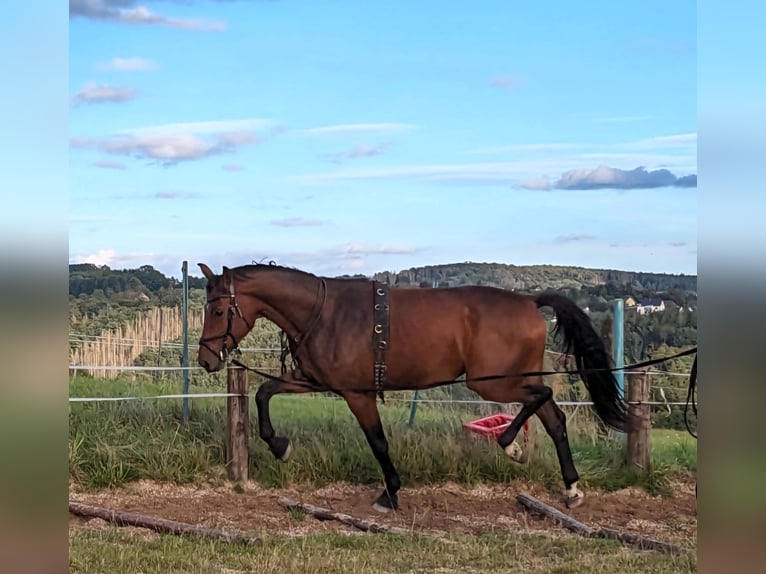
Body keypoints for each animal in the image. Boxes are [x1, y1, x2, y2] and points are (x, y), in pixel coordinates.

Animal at [196, 264, 636, 510]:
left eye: (218, 311)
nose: (206, 359)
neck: (326, 313)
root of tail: (529, 303)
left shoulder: (357, 394)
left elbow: (378, 442)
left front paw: (390, 493)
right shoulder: (315, 381)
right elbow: (263, 393)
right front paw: (279, 445)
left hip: (493, 383)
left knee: (543, 401)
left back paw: (510, 445)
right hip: (512, 379)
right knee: (554, 418)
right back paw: (571, 488)